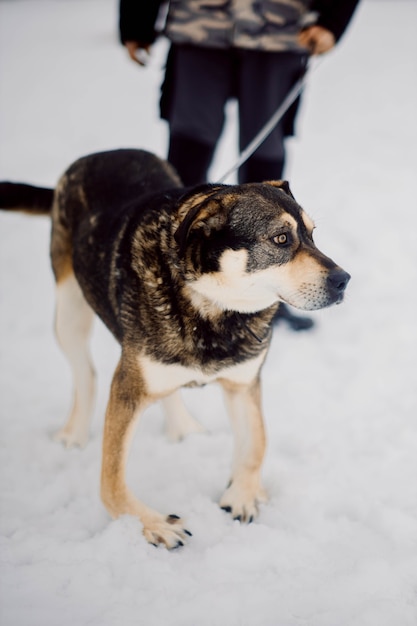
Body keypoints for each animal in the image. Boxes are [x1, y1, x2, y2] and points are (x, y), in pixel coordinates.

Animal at [0, 149, 352, 544]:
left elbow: (257, 443)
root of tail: (97, 155)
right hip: (69, 313)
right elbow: (111, 479)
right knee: (84, 373)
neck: (213, 308)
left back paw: (183, 427)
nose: (344, 280)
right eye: (280, 239)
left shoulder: (243, 382)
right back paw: (73, 433)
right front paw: (149, 524)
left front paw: (243, 494)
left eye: (312, 235)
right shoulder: (127, 388)